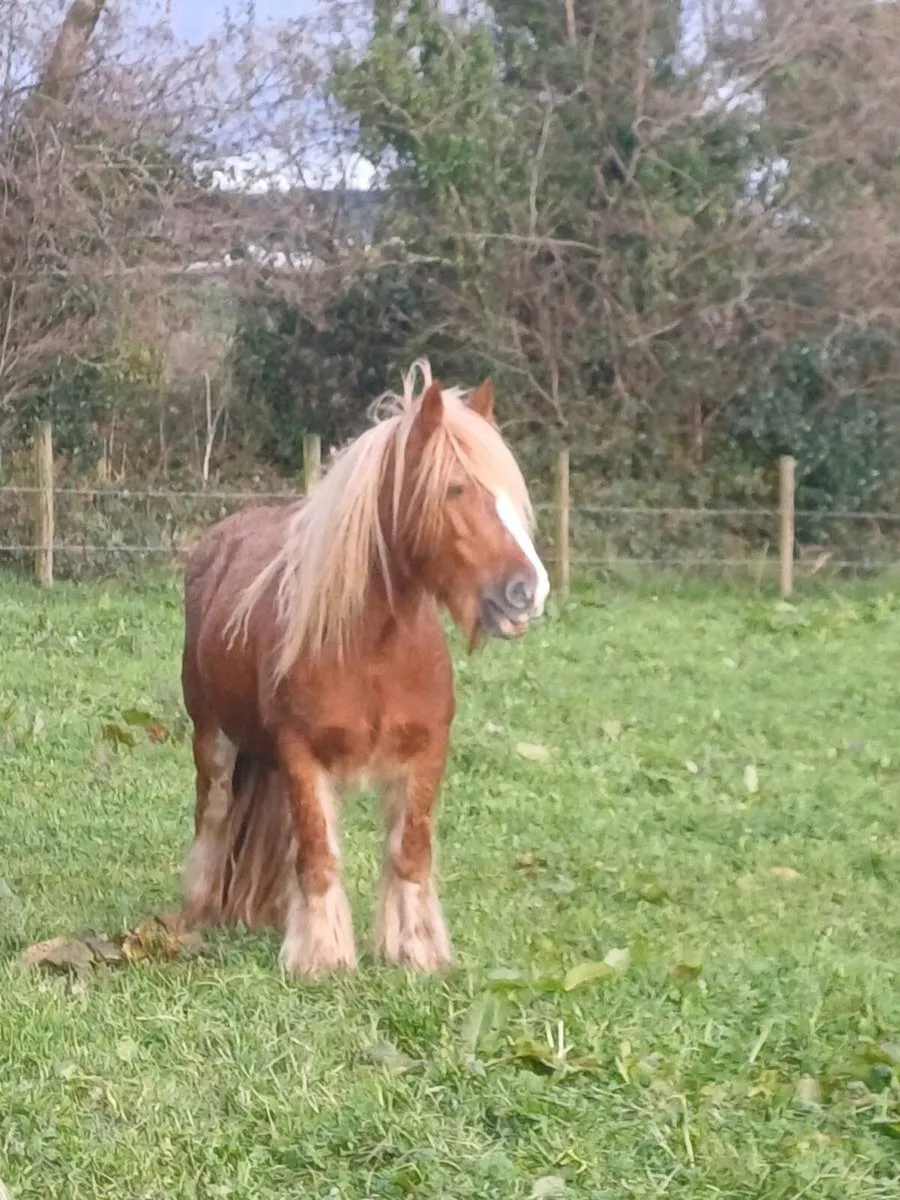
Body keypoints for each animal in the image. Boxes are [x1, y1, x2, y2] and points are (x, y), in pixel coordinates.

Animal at [179, 360, 549, 977]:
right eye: (455, 488)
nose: (528, 591)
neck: (373, 651)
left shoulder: (426, 752)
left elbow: (409, 854)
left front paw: (415, 951)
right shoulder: (300, 753)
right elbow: (319, 854)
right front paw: (322, 959)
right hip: (212, 736)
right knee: (214, 813)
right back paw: (198, 910)